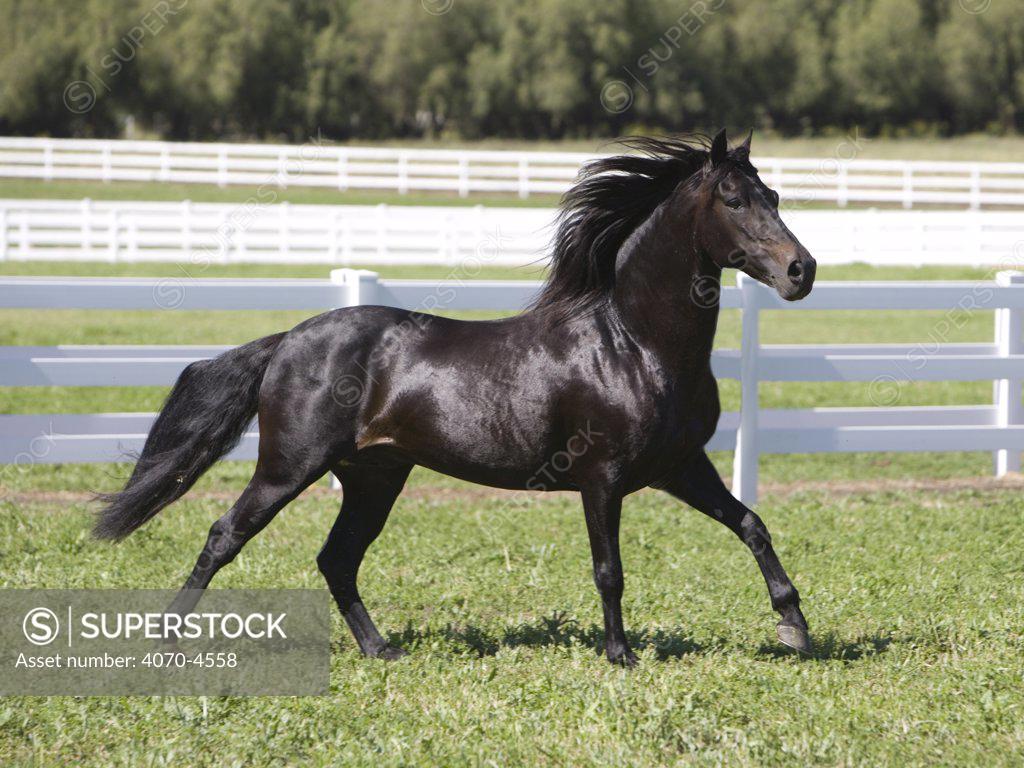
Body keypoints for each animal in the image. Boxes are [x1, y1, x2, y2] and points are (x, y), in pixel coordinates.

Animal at [96, 129, 815, 663]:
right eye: (733, 198)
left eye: (774, 193)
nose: (800, 270)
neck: (633, 345)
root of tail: (288, 342)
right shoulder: (602, 478)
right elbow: (608, 569)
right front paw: (622, 656)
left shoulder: (678, 467)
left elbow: (752, 524)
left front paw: (795, 628)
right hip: (288, 468)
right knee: (226, 535)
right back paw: (166, 639)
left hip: (374, 476)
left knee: (337, 559)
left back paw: (380, 649)